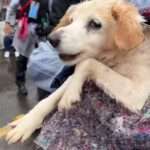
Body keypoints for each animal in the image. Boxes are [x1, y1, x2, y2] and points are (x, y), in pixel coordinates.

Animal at [3, 0, 150, 144]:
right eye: (71, 20)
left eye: (95, 24)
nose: (51, 39)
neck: (120, 54)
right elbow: (52, 95)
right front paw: (26, 122)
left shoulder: (138, 91)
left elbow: (86, 62)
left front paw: (69, 95)